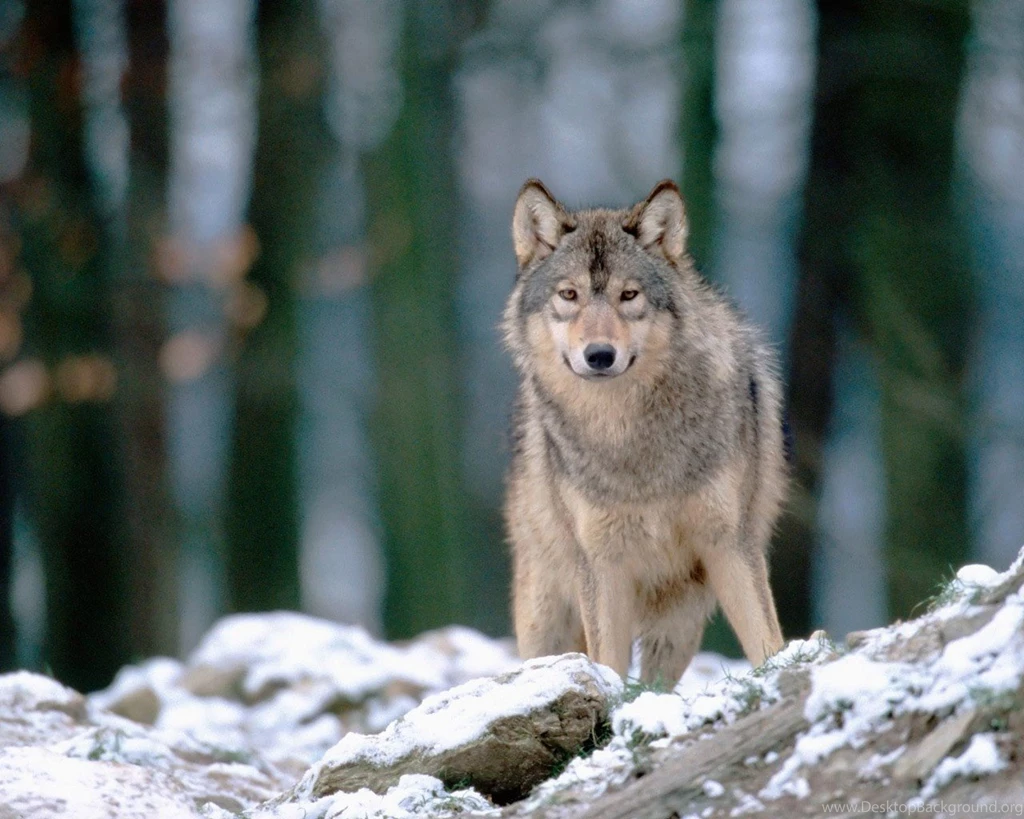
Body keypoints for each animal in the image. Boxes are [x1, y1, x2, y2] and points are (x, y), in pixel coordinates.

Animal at [502, 178, 787, 684]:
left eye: (629, 295)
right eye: (569, 295)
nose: (599, 355)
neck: (629, 438)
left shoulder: (730, 543)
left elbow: (766, 641)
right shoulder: (602, 564)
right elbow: (608, 665)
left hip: (678, 623)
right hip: (545, 618)